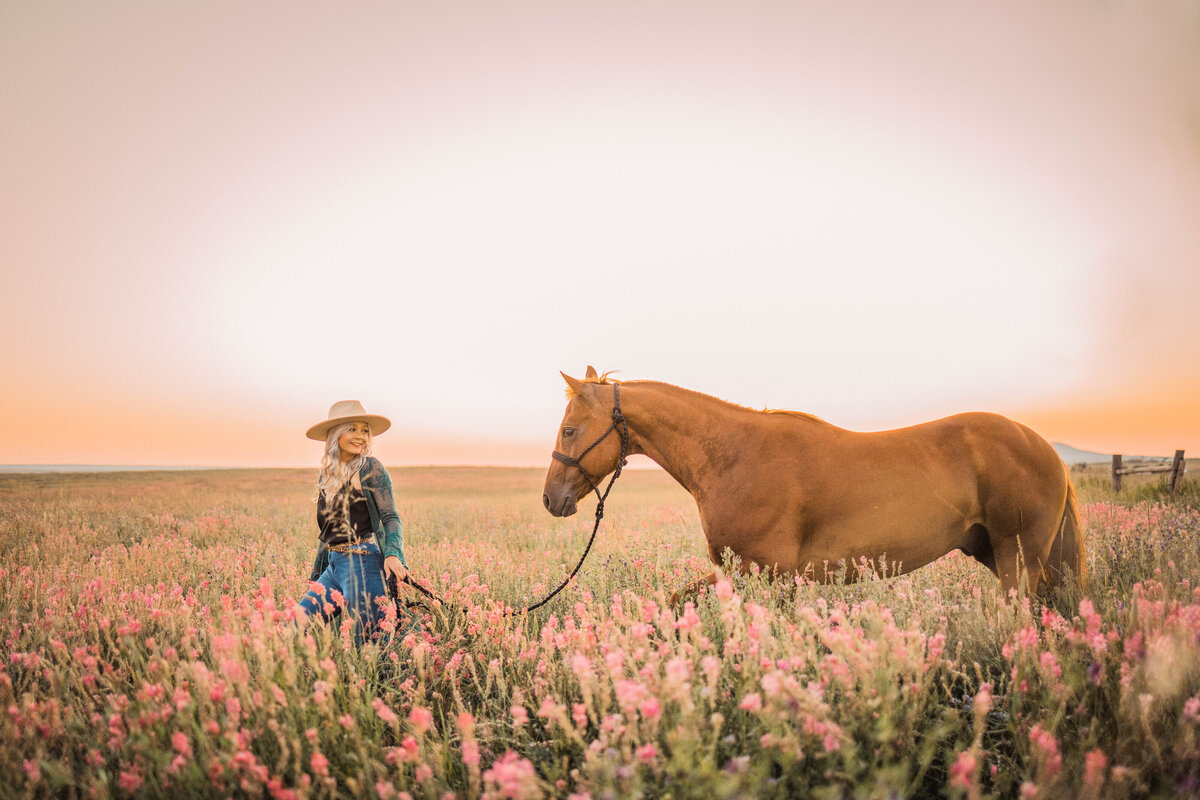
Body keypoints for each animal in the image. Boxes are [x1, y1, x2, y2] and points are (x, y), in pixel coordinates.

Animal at [544, 369, 1089, 599]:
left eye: (569, 430)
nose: (552, 499)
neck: (733, 456)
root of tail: (1044, 447)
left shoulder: (770, 572)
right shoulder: (736, 569)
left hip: (1017, 557)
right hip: (1002, 554)